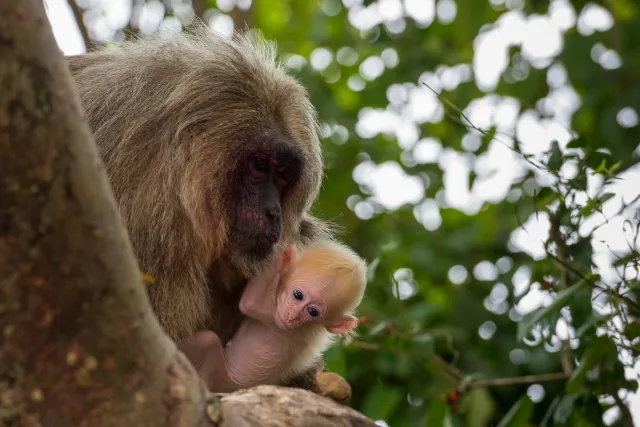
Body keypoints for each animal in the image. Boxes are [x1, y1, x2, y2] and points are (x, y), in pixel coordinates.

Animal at [191, 241, 364, 392]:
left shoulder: (278, 320)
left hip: (218, 376)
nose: (292, 316)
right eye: (298, 295)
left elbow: (249, 304)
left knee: (208, 340)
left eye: (313, 312)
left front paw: (282, 254)